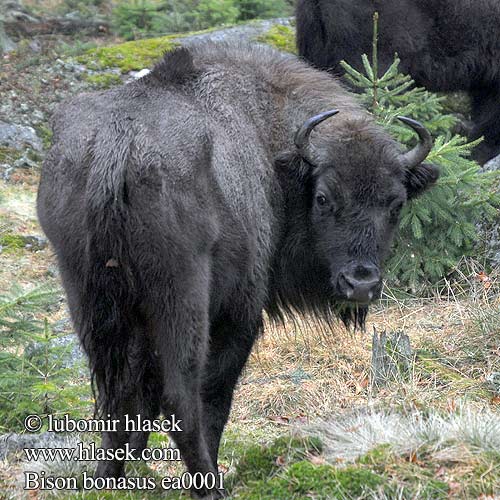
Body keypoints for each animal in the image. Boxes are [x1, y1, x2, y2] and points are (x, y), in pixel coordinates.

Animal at [37, 42, 440, 496]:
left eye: (396, 203)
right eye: (323, 197)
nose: (360, 283)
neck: (272, 145)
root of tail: (117, 149)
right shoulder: (241, 314)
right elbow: (215, 397)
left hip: (86, 293)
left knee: (114, 394)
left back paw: (106, 479)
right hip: (183, 296)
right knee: (181, 398)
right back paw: (208, 485)